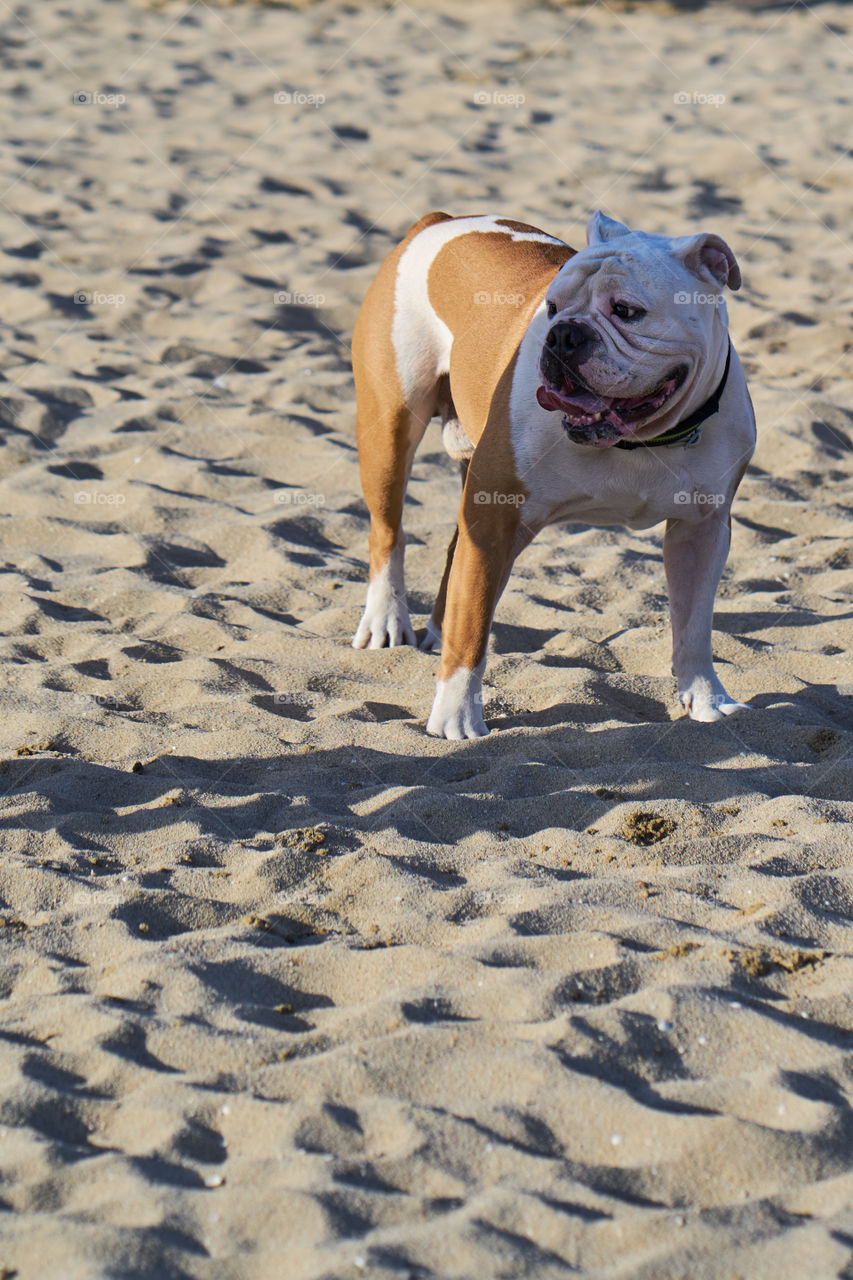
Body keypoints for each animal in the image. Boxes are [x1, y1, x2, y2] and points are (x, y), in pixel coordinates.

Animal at [348, 212, 753, 742]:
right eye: (553, 307)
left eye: (627, 311)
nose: (563, 334)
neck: (639, 441)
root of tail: (438, 221)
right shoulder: (493, 521)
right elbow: (472, 625)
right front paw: (455, 718)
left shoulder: (701, 530)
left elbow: (695, 626)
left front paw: (707, 699)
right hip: (390, 428)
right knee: (388, 532)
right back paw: (386, 619)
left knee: (455, 561)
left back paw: (433, 631)